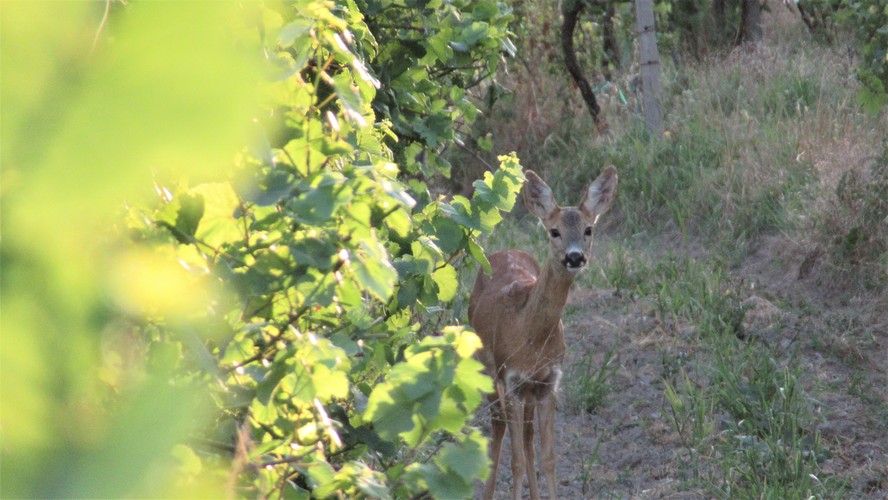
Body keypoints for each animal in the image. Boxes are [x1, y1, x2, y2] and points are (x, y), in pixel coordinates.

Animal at [472, 168, 616, 500]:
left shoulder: (549, 381)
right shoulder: (511, 378)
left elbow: (548, 458)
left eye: (588, 229)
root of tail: (505, 250)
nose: (575, 257)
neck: (531, 338)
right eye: (554, 231)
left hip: (528, 391)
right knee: (498, 426)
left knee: (526, 437)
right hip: (488, 369)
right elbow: (516, 462)